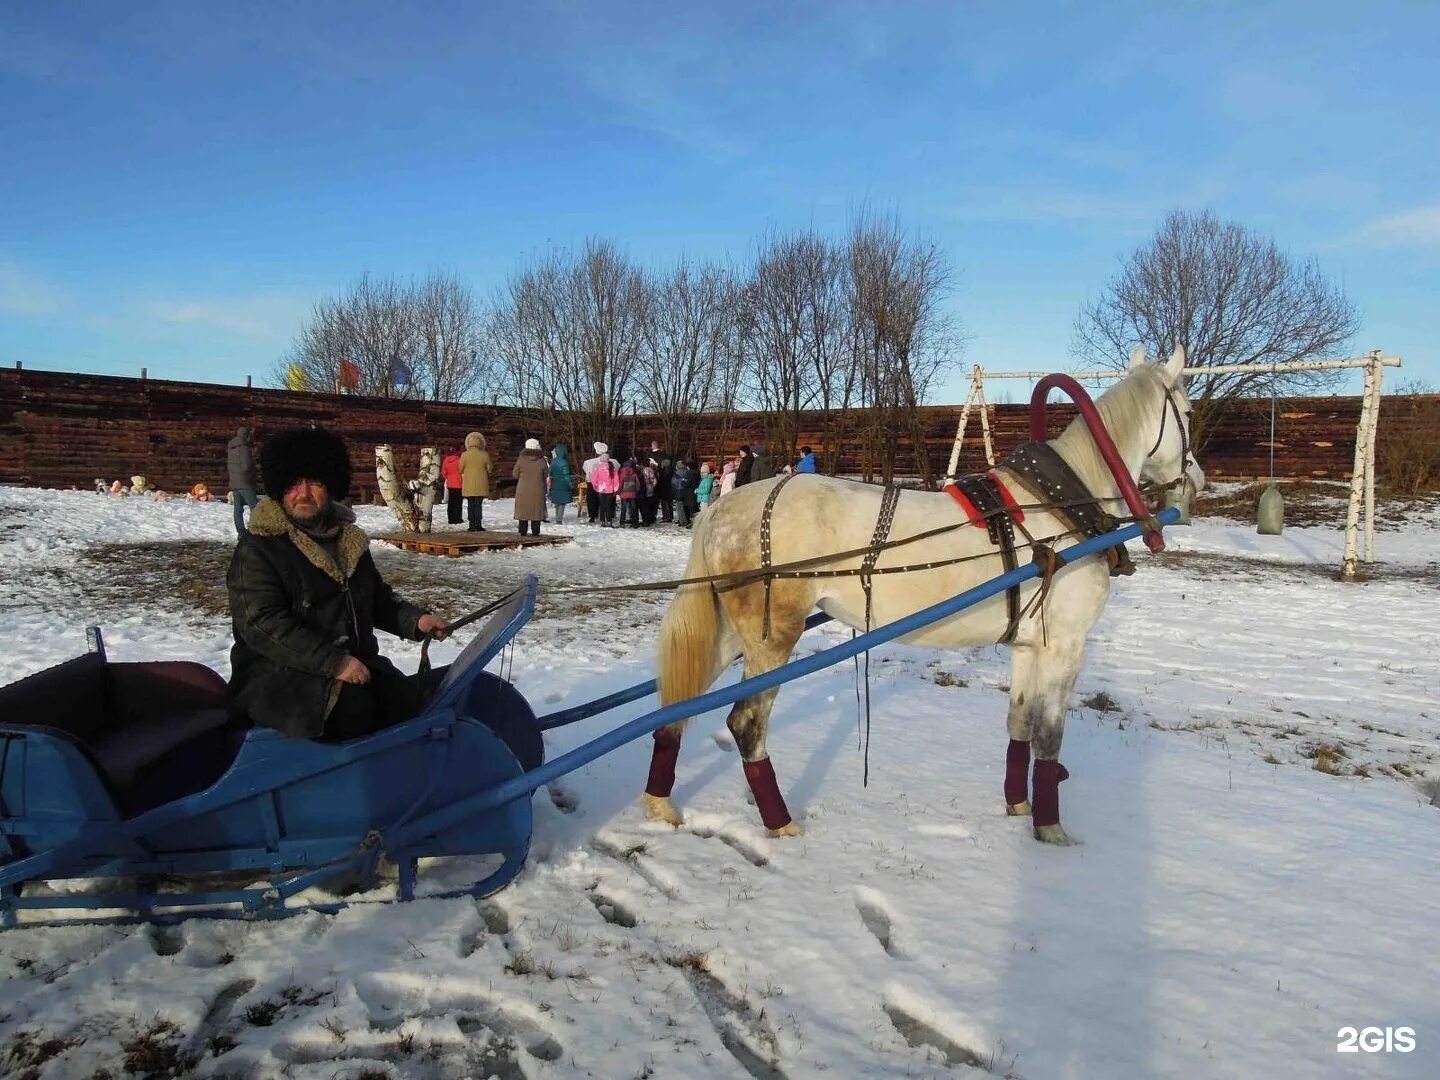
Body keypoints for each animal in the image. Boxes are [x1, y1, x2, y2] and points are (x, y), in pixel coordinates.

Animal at [645, 347, 1203, 846]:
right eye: (1190, 412)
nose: (1195, 479)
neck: (1062, 505)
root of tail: (721, 509)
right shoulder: (1065, 646)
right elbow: (1049, 736)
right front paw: (1050, 831)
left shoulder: (1029, 645)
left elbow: (1019, 722)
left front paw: (1017, 807)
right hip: (771, 638)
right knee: (746, 723)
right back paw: (779, 823)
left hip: (727, 633)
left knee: (677, 703)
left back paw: (660, 805)